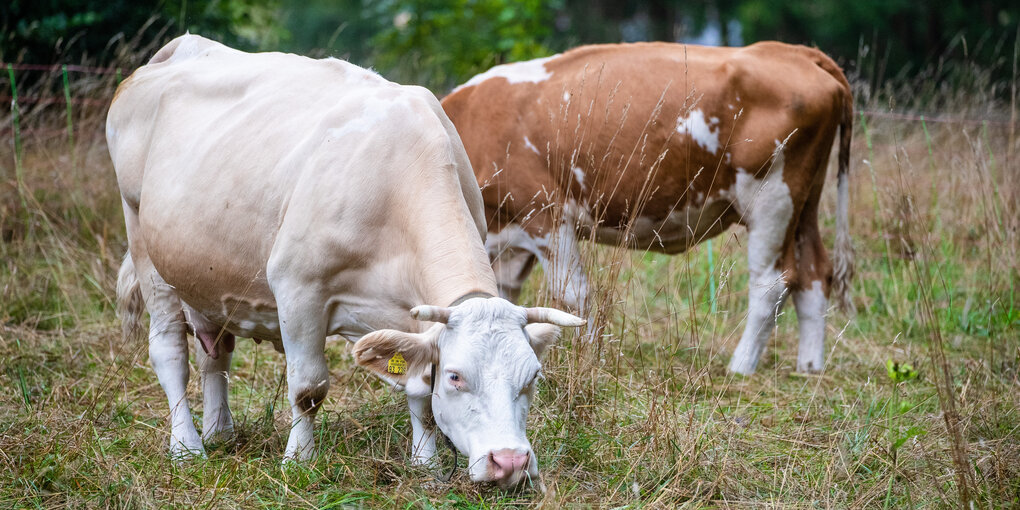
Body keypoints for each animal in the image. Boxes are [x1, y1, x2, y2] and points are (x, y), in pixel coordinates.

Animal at [108, 33, 583, 487]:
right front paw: (298, 460)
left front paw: (425, 465)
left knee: (215, 354)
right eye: (455, 376)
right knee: (170, 352)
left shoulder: (416, 311)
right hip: (143, 241)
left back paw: (220, 433)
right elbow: (308, 388)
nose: (510, 462)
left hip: (205, 276)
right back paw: (187, 447)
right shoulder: (298, 289)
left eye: (533, 377)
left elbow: (417, 393)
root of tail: (180, 47)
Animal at [440, 40, 852, 375]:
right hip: (804, 202)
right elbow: (500, 298)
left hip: (772, 199)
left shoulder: (545, 213)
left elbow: (574, 295)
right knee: (815, 272)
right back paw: (809, 367)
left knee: (772, 283)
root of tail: (794, 52)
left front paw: (591, 355)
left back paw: (740, 366)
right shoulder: (509, 235)